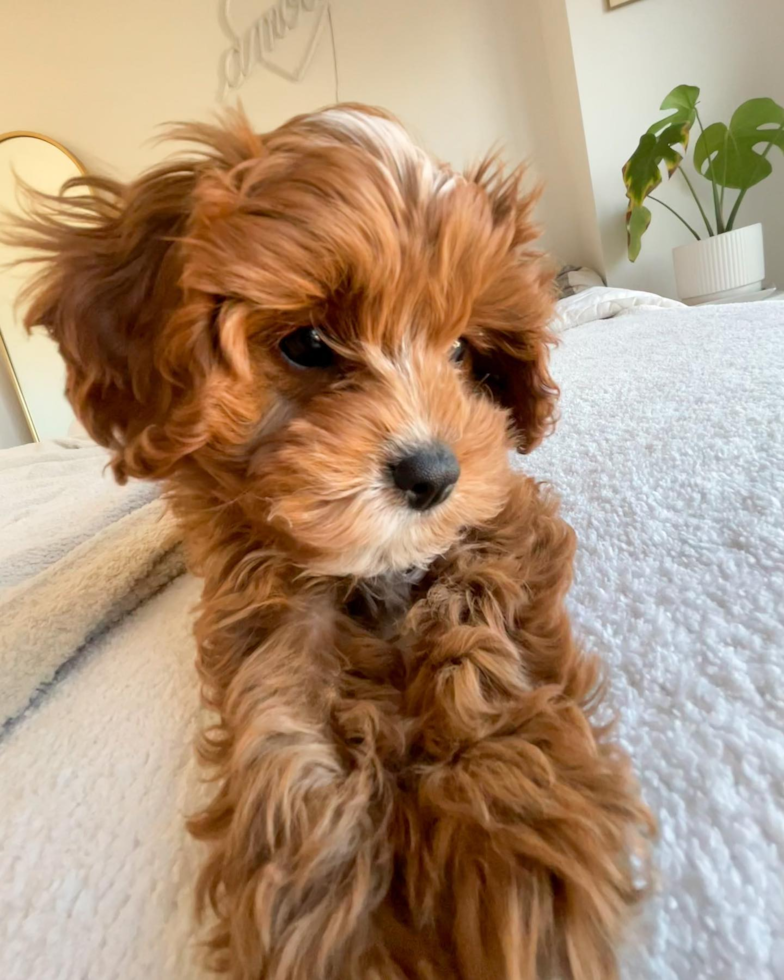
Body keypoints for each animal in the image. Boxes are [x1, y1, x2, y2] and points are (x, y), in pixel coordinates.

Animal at [9, 107, 652, 980]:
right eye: (308, 345)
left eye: (462, 351)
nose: (433, 474)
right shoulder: (260, 590)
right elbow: (287, 716)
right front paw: (334, 912)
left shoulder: (498, 515)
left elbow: (483, 633)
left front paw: (503, 828)